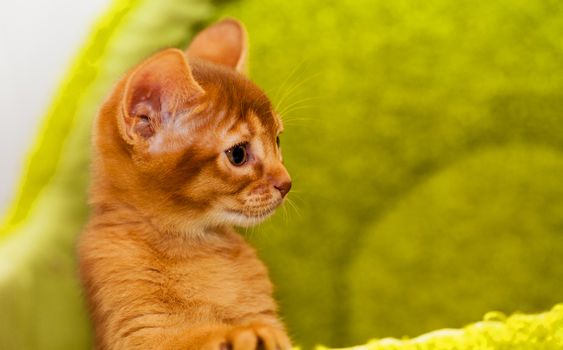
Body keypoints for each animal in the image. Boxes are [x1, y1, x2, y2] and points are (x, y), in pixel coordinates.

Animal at [79, 19, 294, 350]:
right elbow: (193, 338)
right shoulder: (139, 332)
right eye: (238, 154)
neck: (198, 244)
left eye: (278, 140)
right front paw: (239, 334)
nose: (286, 183)